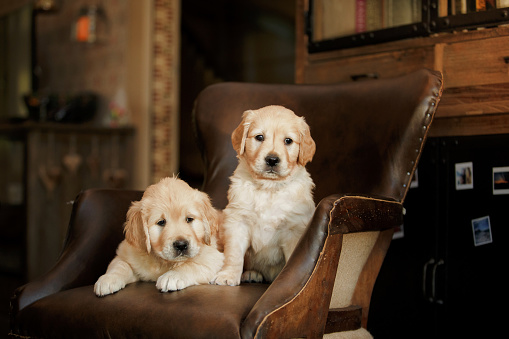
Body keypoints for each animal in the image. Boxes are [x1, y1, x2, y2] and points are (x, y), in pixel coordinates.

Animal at [94, 177, 223, 296]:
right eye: (161, 222)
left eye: (189, 219)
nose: (181, 245)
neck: (162, 261)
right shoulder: (125, 253)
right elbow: (120, 265)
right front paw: (107, 279)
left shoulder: (213, 257)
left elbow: (191, 264)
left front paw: (172, 276)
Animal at [212, 105, 316, 286]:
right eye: (259, 137)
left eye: (288, 141)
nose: (272, 160)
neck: (269, 188)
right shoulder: (237, 222)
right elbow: (233, 254)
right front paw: (228, 275)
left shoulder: (294, 229)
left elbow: (292, 261)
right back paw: (251, 274)